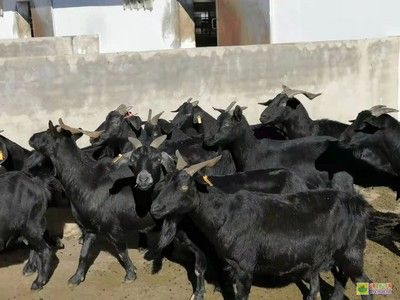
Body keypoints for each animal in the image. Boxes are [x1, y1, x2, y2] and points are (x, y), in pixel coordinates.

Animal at [149, 155, 372, 300]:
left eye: (184, 186)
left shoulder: (244, 266)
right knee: (337, 280)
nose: (155, 208)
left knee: (365, 283)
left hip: (351, 252)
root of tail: (357, 203)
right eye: (163, 183)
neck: (226, 214)